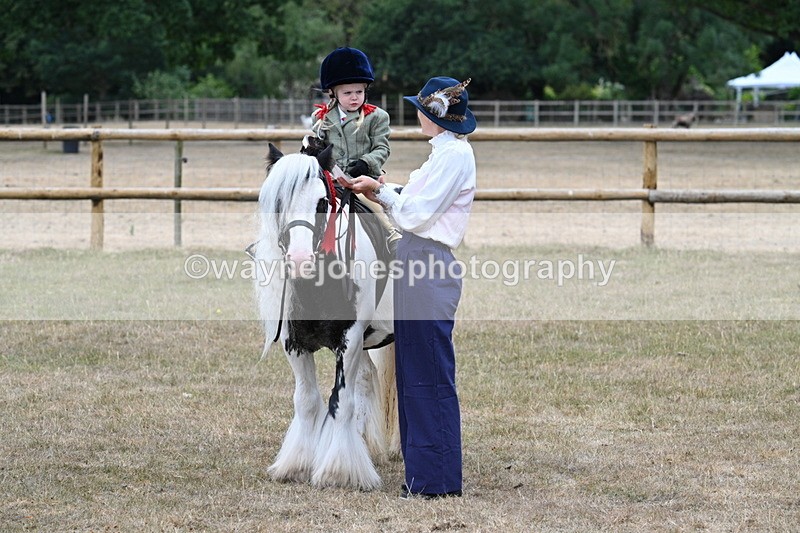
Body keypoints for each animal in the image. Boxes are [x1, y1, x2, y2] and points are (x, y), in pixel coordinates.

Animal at [252, 141, 399, 490]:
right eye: (278, 201)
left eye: (322, 201)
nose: (299, 260)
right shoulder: (295, 345)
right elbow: (307, 401)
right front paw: (297, 465)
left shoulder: (350, 340)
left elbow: (341, 402)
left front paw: (339, 472)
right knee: (366, 382)